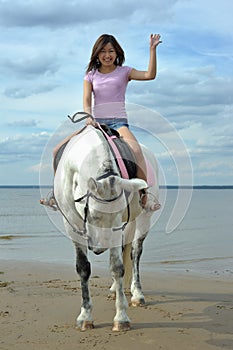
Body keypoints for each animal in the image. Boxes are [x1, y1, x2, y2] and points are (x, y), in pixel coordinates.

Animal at [53, 123, 159, 330]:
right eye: (93, 214)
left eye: (114, 216)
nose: (98, 248)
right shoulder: (72, 224)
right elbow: (83, 267)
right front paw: (85, 317)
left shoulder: (117, 225)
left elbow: (117, 267)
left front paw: (121, 318)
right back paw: (115, 289)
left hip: (144, 217)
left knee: (135, 254)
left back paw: (137, 294)